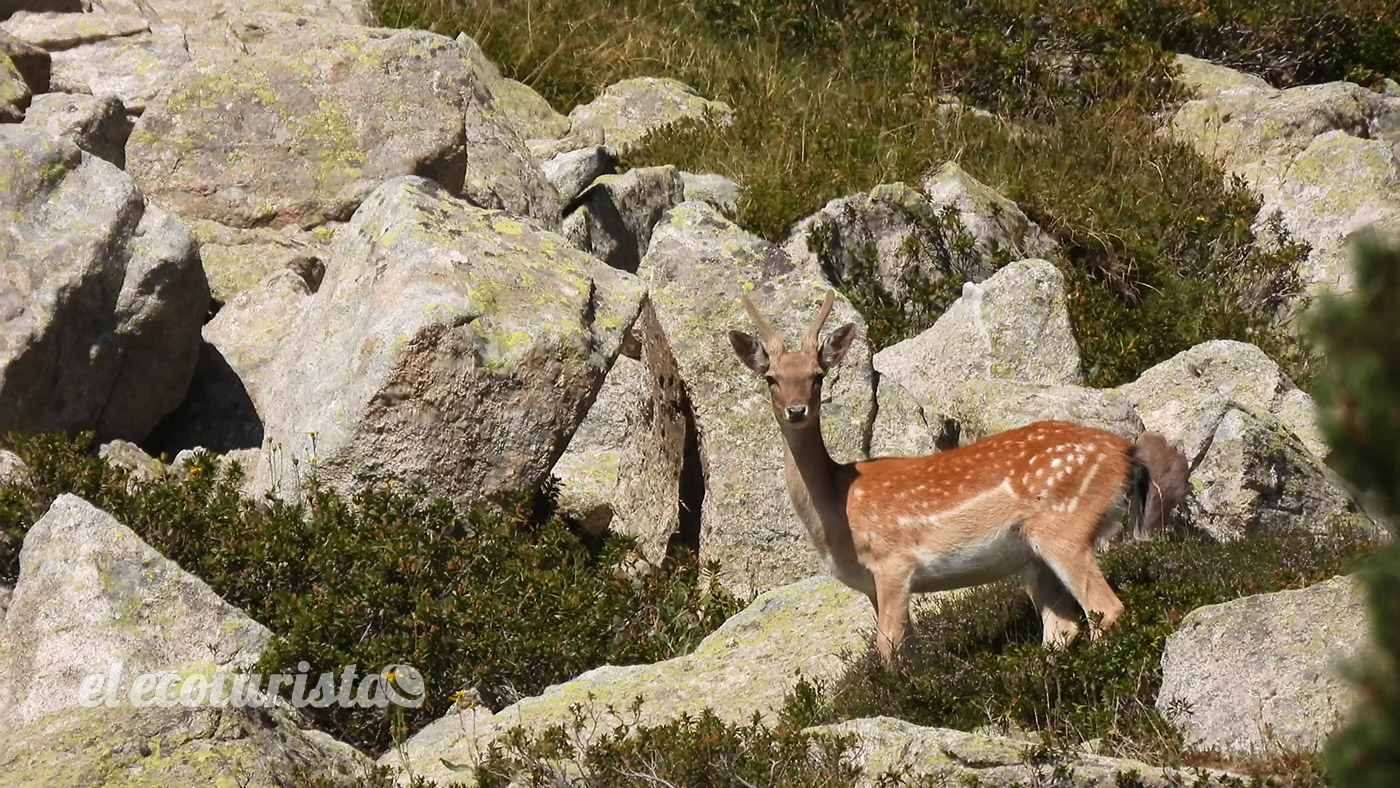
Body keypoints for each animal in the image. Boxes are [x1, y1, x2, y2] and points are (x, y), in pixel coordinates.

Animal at [728, 290, 1189, 662]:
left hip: (1066, 527)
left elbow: (888, 651)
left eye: (818, 376)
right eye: (771, 379)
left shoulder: (895, 563)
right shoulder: (873, 584)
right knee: (1063, 627)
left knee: (1106, 610)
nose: (797, 410)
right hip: (1033, 556)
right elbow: (906, 651)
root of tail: (1125, 453)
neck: (839, 506)